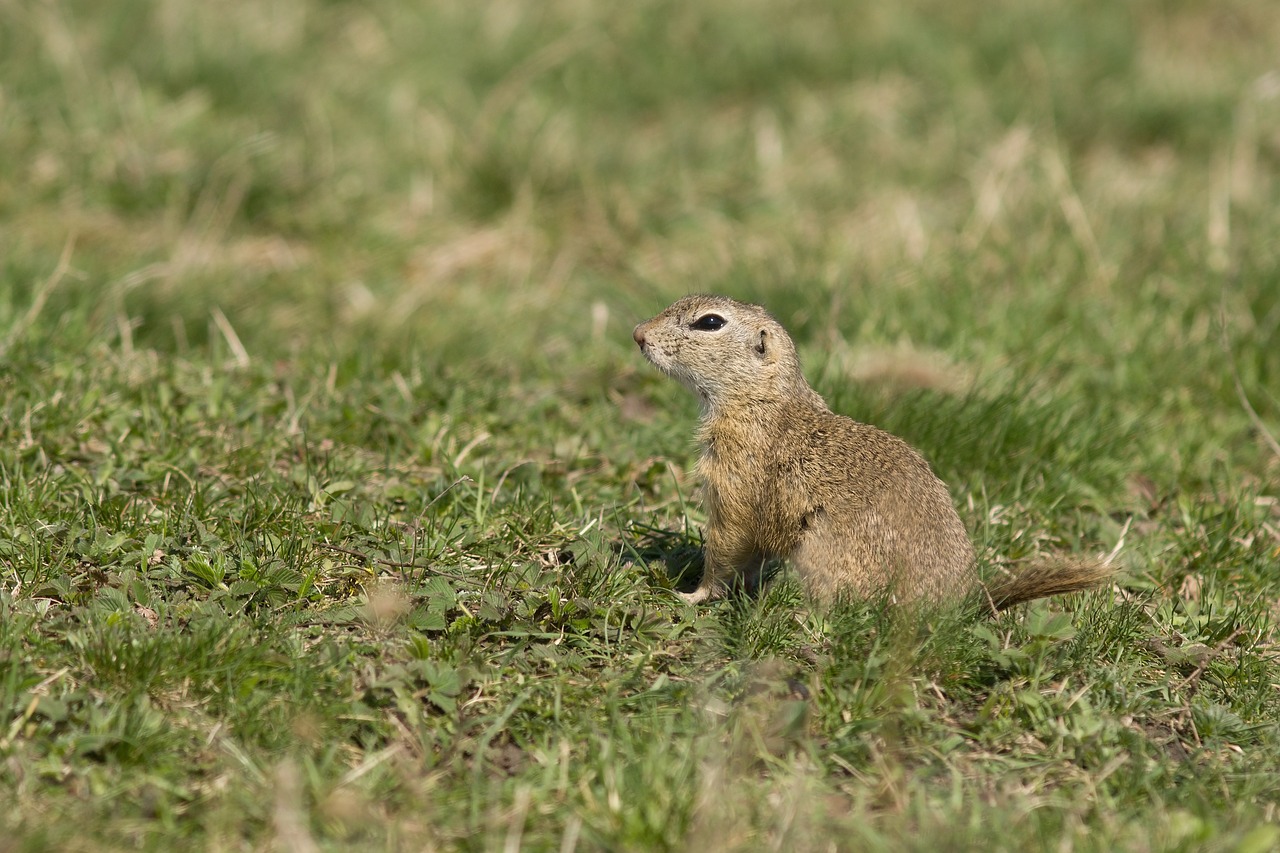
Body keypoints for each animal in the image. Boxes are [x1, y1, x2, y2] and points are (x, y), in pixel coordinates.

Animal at [634, 295, 1116, 607]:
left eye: (709, 323)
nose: (638, 333)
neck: (764, 401)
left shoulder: (733, 476)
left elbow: (727, 545)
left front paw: (691, 594)